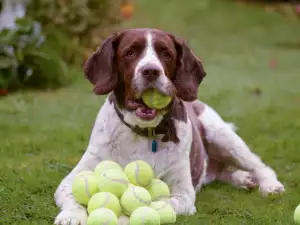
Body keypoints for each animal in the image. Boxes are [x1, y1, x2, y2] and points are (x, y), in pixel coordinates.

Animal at [54, 28, 286, 225]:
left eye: (166, 54)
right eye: (130, 52)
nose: (151, 71)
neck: (143, 132)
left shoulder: (183, 194)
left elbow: (154, 205)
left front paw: (122, 219)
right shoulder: (71, 180)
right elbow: (73, 197)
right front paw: (71, 217)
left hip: (222, 135)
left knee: (259, 165)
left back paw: (269, 185)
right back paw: (242, 178)